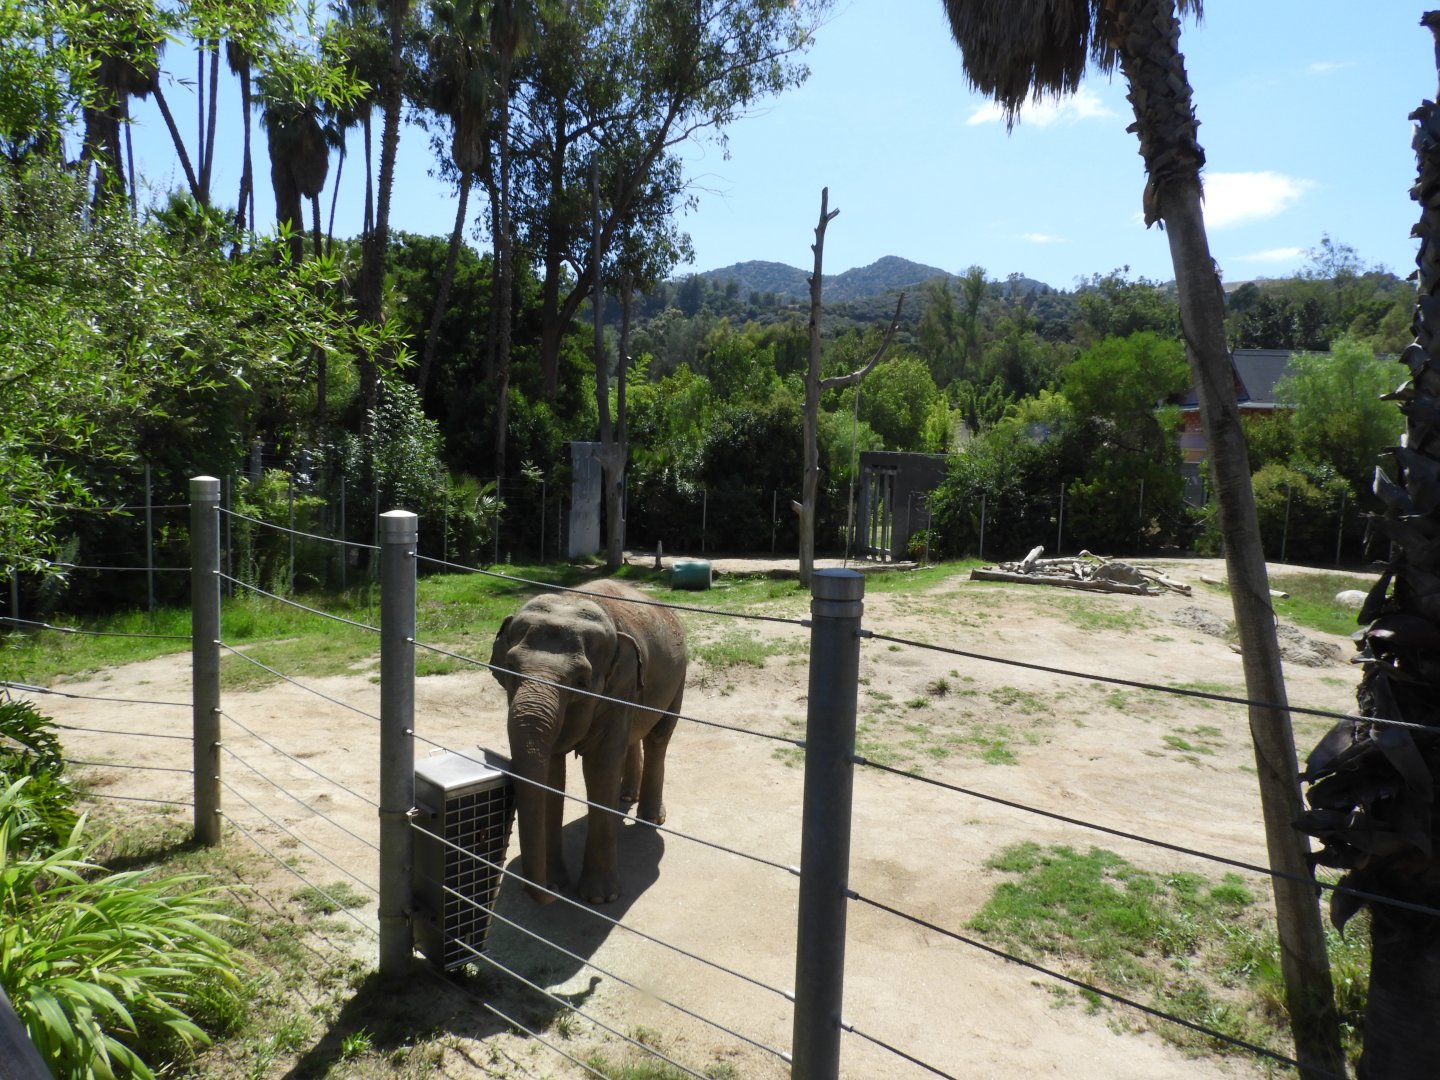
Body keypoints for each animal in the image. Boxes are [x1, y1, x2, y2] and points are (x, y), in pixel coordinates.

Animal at [489, 579, 687, 905]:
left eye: (581, 682)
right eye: (510, 668)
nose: (551, 893)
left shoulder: (619, 689)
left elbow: (600, 767)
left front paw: (599, 899)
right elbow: (552, 772)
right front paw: (556, 882)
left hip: (679, 678)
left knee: (658, 738)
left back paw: (650, 818)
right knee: (632, 739)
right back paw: (626, 797)